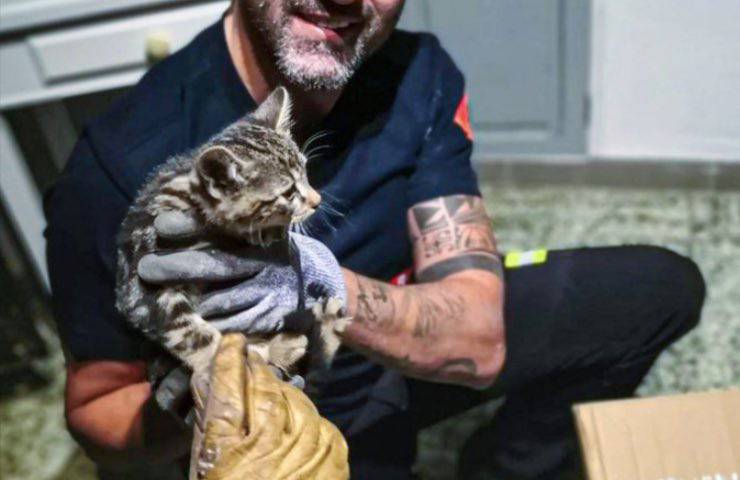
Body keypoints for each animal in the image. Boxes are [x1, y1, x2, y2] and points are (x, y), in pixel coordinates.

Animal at [115, 87, 346, 389]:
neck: (192, 198)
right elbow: (192, 335)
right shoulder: (144, 286)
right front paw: (224, 368)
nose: (317, 201)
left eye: (306, 173)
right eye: (288, 193)